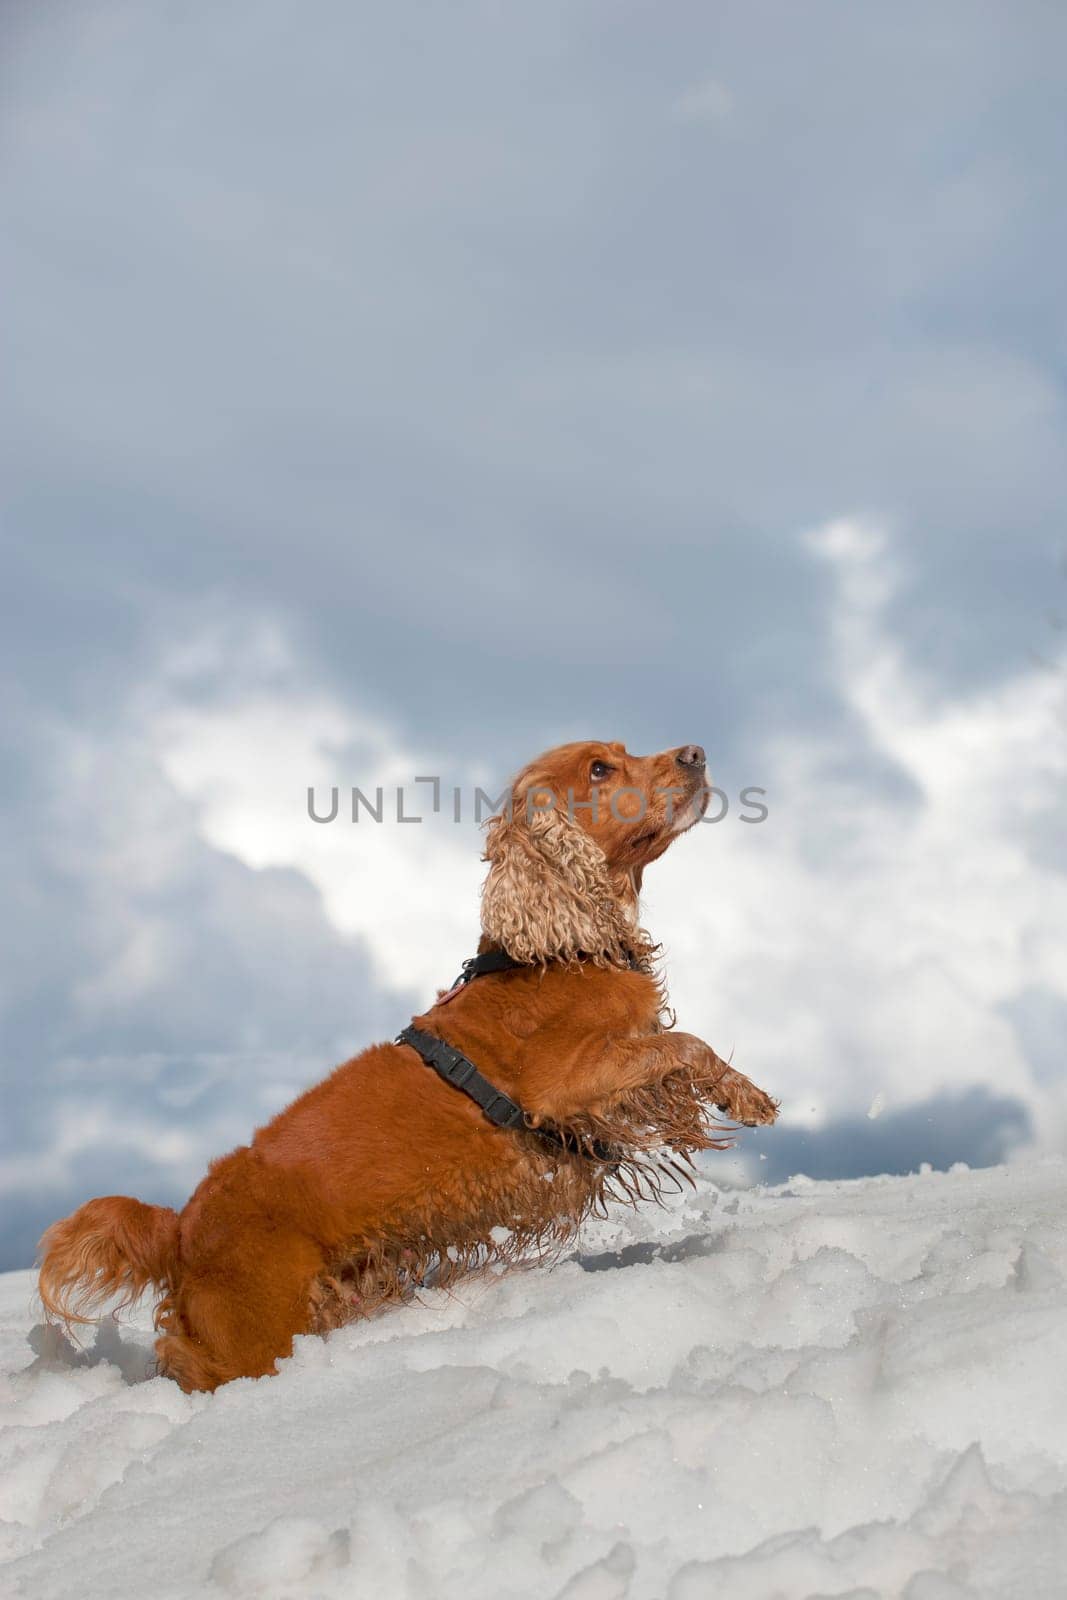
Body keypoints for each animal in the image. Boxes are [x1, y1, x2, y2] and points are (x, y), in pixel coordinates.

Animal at [37, 742, 780, 1395]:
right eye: (600, 768)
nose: (695, 754)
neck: (562, 948)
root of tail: (179, 1228)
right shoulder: (566, 1085)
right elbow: (681, 1046)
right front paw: (746, 1099)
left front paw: (738, 1091)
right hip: (254, 1336)